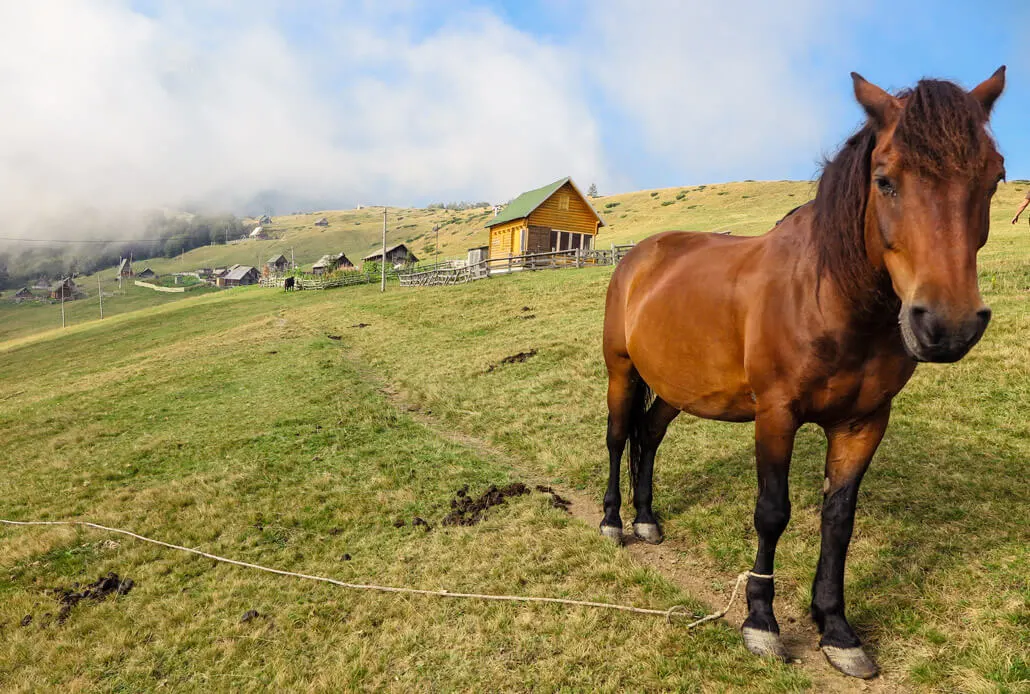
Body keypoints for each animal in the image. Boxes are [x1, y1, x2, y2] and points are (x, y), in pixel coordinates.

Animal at [601, 68, 1005, 675]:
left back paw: (647, 519)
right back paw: (612, 521)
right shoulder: (777, 415)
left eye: (996, 177)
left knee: (647, 438)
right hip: (621, 371)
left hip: (676, 386)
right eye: (884, 181)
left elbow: (838, 521)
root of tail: (638, 255)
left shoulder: (863, 423)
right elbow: (773, 512)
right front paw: (761, 623)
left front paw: (836, 630)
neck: (826, 299)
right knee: (617, 437)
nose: (948, 323)